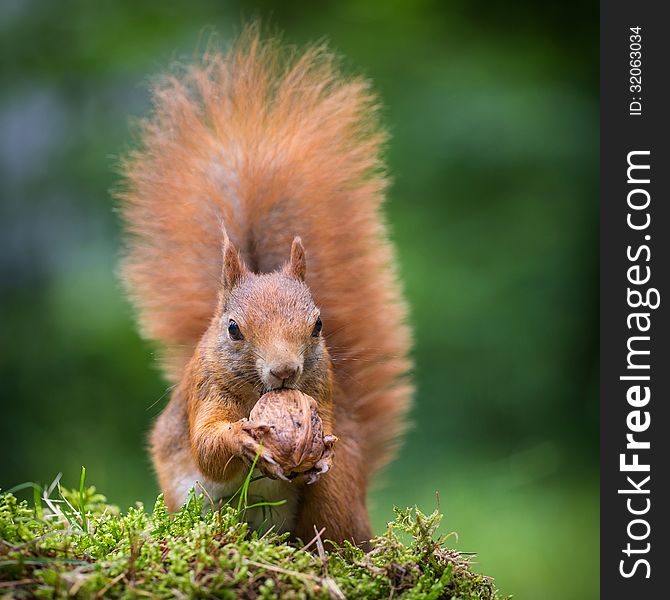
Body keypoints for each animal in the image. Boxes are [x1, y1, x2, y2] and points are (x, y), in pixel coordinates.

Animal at [119, 28, 414, 548]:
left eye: (319, 325)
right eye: (233, 329)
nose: (283, 371)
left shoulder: (322, 392)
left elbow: (322, 426)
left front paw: (319, 445)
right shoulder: (205, 391)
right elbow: (207, 447)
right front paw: (244, 439)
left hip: (337, 496)